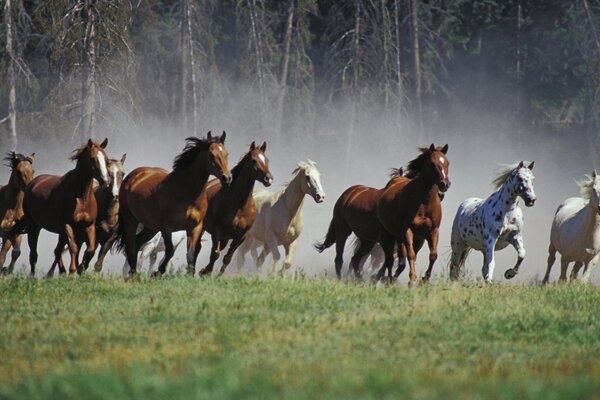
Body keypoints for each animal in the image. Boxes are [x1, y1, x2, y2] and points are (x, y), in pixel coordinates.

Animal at [23, 138, 110, 276]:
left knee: (57, 251)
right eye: (92, 158)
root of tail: (32, 183)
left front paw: (80, 268)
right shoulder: (67, 225)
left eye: (106, 159)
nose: (105, 181)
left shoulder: (89, 225)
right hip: (34, 227)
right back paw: (33, 276)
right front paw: (73, 271)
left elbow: (90, 250)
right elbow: (73, 248)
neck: (81, 197)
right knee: (34, 254)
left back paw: (62, 272)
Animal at [117, 131, 232, 276]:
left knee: (137, 244)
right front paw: (157, 273)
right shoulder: (167, 228)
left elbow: (191, 254)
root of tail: (134, 175)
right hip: (130, 219)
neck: (187, 195)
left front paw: (189, 276)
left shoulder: (195, 227)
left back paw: (131, 275)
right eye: (211, 155)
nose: (227, 178)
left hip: (151, 227)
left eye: (226, 154)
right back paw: (133, 275)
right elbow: (170, 251)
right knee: (131, 247)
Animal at [198, 142, 274, 276]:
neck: (239, 206)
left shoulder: (241, 236)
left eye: (267, 159)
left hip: (225, 238)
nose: (268, 179)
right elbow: (215, 254)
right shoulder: (217, 231)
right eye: (254, 160)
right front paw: (207, 272)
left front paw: (216, 275)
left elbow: (227, 258)